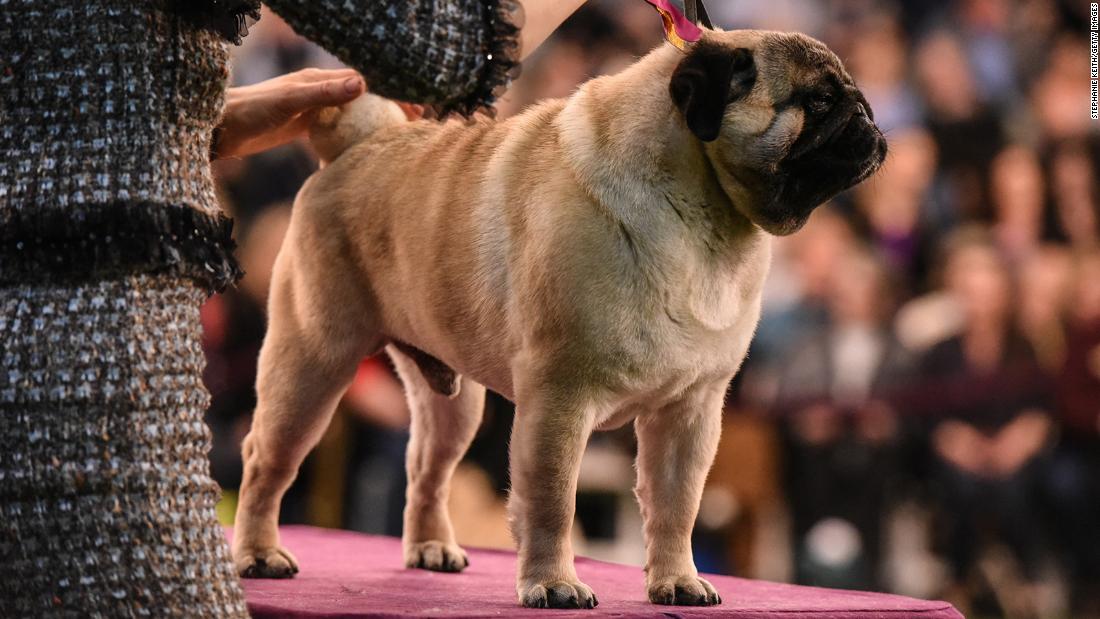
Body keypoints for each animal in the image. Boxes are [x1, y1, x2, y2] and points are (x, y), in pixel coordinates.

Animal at [229, 29, 884, 611]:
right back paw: (258, 554)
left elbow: (677, 507)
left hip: (454, 407)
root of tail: (359, 144)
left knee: (426, 469)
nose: (871, 119)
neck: (705, 220)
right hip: (312, 365)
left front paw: (676, 581)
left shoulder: (690, 412)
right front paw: (553, 584)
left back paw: (431, 548)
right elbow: (551, 501)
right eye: (818, 101)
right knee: (267, 461)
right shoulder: (559, 401)